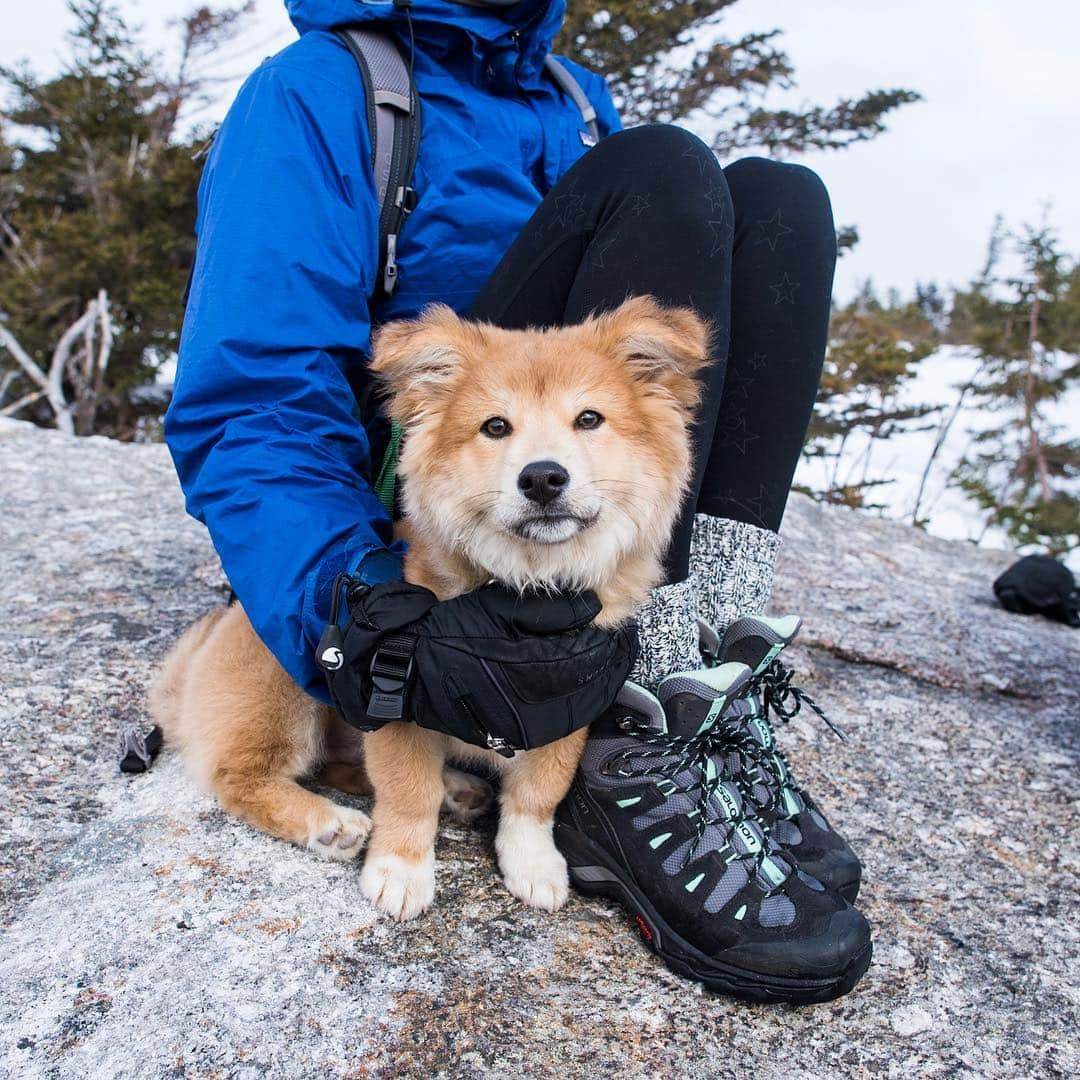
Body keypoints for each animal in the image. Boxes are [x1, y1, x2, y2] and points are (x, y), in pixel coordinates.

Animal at [152, 295, 708, 920]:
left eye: (589, 420)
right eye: (495, 427)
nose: (542, 477)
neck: (522, 593)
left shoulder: (567, 702)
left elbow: (537, 794)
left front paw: (533, 862)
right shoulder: (399, 701)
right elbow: (406, 793)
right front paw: (400, 869)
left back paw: (457, 789)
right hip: (285, 682)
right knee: (240, 777)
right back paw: (327, 822)